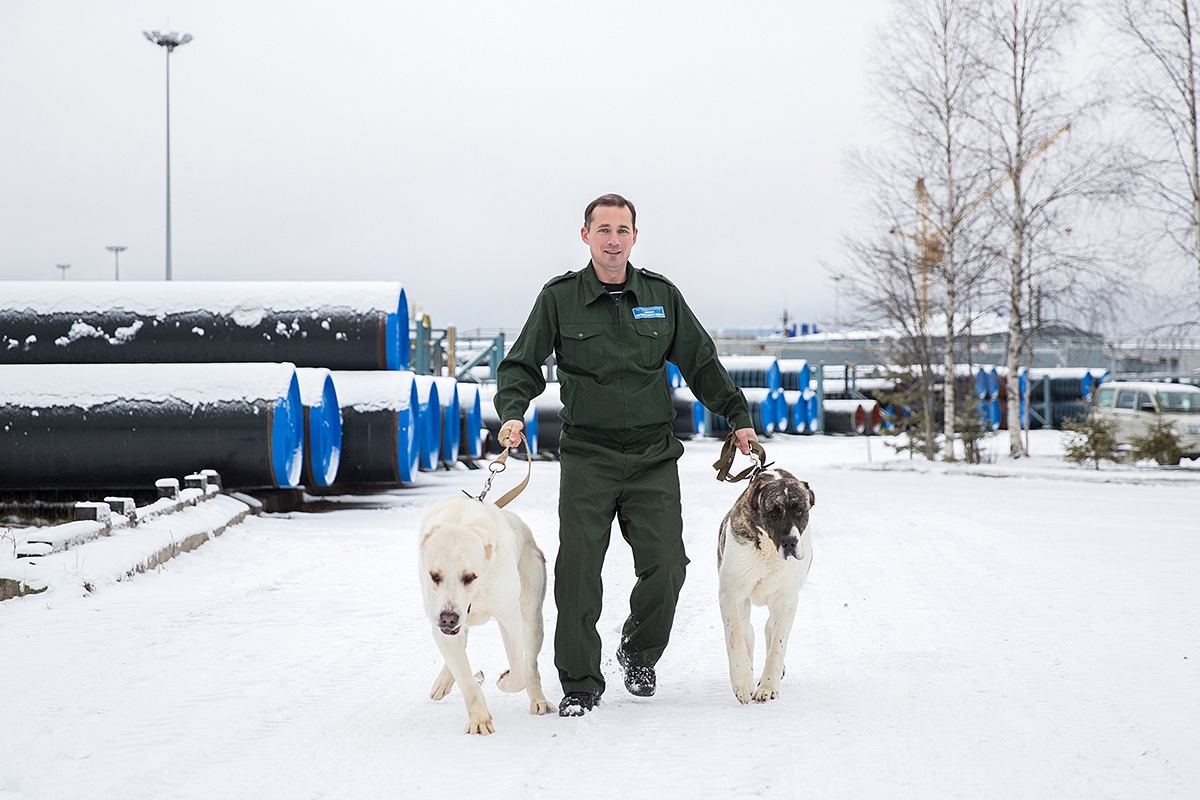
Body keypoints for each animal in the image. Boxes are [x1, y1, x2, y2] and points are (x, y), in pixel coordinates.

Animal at [420, 496, 554, 734]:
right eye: (434, 576)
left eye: (469, 577)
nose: (448, 617)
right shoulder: (442, 626)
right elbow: (466, 679)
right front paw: (480, 720)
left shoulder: (510, 619)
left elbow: (519, 675)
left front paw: (504, 680)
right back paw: (443, 682)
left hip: (532, 620)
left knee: (531, 665)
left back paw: (539, 701)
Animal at [710, 470, 816, 705]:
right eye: (773, 513)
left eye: (800, 510)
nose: (789, 542)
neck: (769, 547)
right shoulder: (731, 594)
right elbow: (735, 638)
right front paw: (742, 682)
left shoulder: (786, 600)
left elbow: (777, 645)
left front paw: (767, 687)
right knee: (747, 632)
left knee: (769, 629)